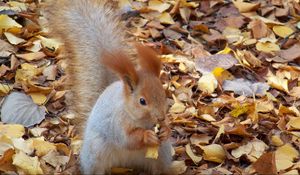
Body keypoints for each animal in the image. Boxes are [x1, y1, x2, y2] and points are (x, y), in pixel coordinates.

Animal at [42, 0, 173, 174]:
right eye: (142, 101)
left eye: (164, 94)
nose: (160, 118)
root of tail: (126, 163)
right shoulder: (116, 122)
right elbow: (127, 139)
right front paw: (147, 136)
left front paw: (165, 130)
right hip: (96, 153)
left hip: (163, 154)